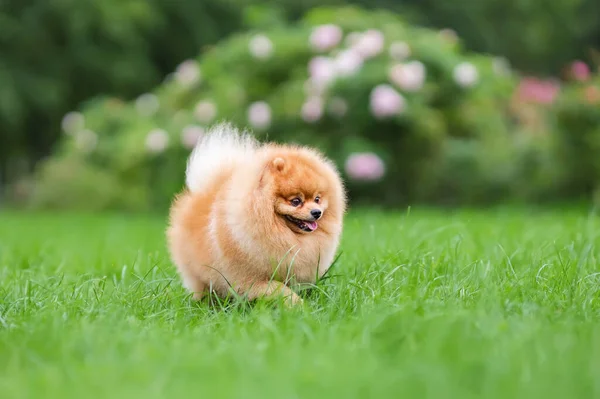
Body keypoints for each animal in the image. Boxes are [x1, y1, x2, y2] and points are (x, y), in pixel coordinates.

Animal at [169, 123, 346, 304]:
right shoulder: (250, 278)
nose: (317, 212)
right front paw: (296, 303)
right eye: (296, 201)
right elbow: (278, 288)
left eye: (317, 199)